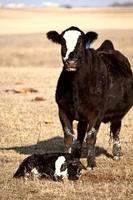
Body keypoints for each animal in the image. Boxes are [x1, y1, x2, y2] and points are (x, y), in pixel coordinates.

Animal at [46, 25, 133, 169]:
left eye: (81, 42)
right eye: (62, 42)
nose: (71, 62)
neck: (75, 87)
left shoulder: (97, 112)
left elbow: (91, 137)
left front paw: (91, 164)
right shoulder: (62, 110)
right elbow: (69, 137)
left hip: (118, 113)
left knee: (116, 130)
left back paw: (116, 154)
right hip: (83, 116)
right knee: (80, 133)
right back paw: (76, 154)